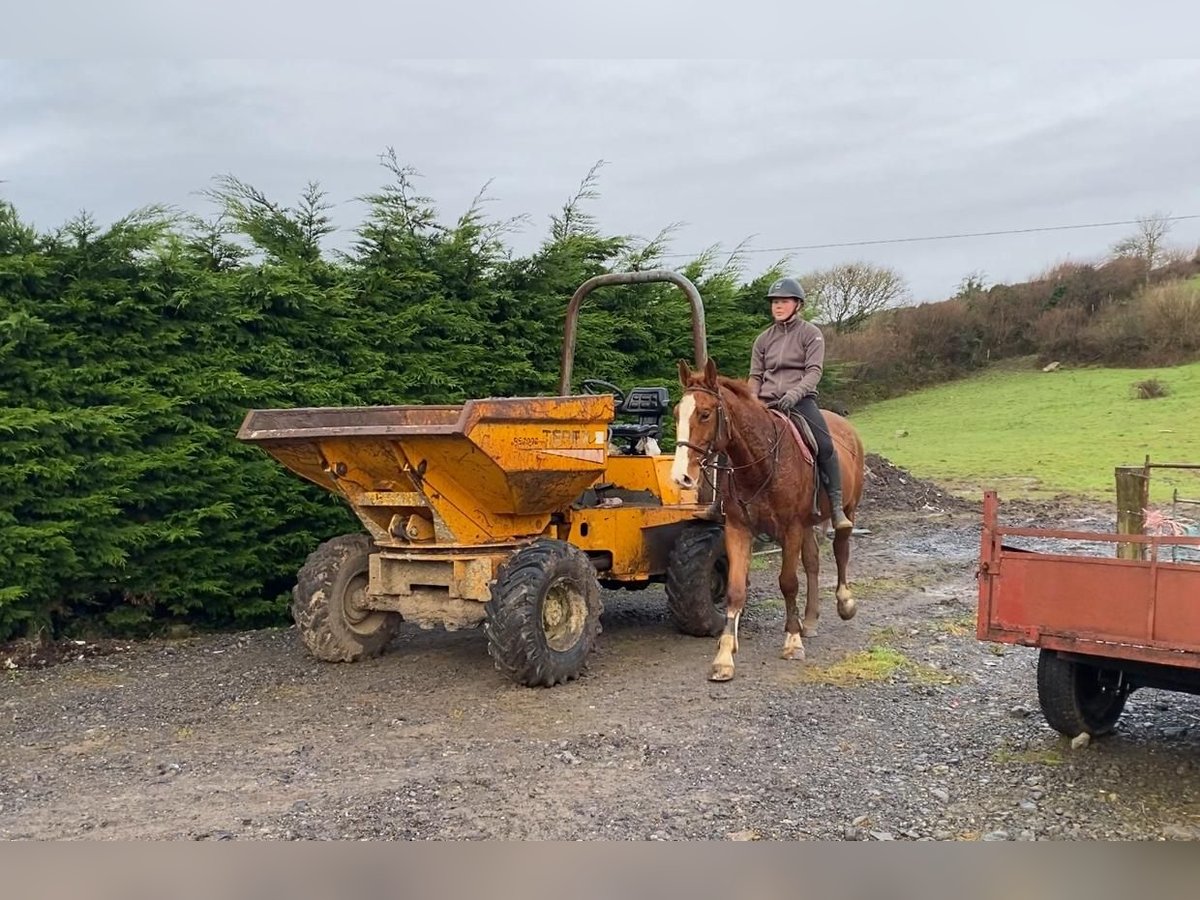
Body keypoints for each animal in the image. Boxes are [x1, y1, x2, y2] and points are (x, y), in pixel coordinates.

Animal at [672, 360, 868, 681]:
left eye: (704, 413)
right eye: (677, 413)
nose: (681, 477)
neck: (761, 463)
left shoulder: (791, 529)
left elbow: (788, 583)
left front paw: (792, 641)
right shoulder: (739, 529)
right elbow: (735, 589)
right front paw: (724, 656)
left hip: (848, 509)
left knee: (841, 550)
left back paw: (844, 603)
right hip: (809, 523)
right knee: (813, 562)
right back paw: (809, 620)